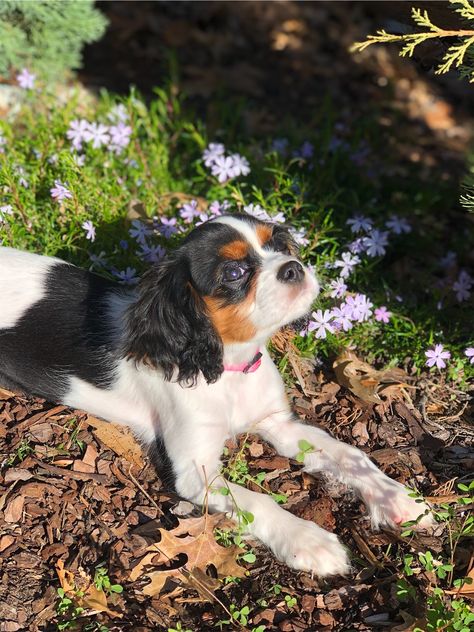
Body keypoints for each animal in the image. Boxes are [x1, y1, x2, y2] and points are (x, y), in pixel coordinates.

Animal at [0, 215, 434, 576]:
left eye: (279, 246)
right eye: (235, 271)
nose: (294, 267)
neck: (229, 370)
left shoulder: (279, 425)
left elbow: (351, 455)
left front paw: (397, 499)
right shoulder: (196, 473)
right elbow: (257, 501)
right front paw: (309, 542)